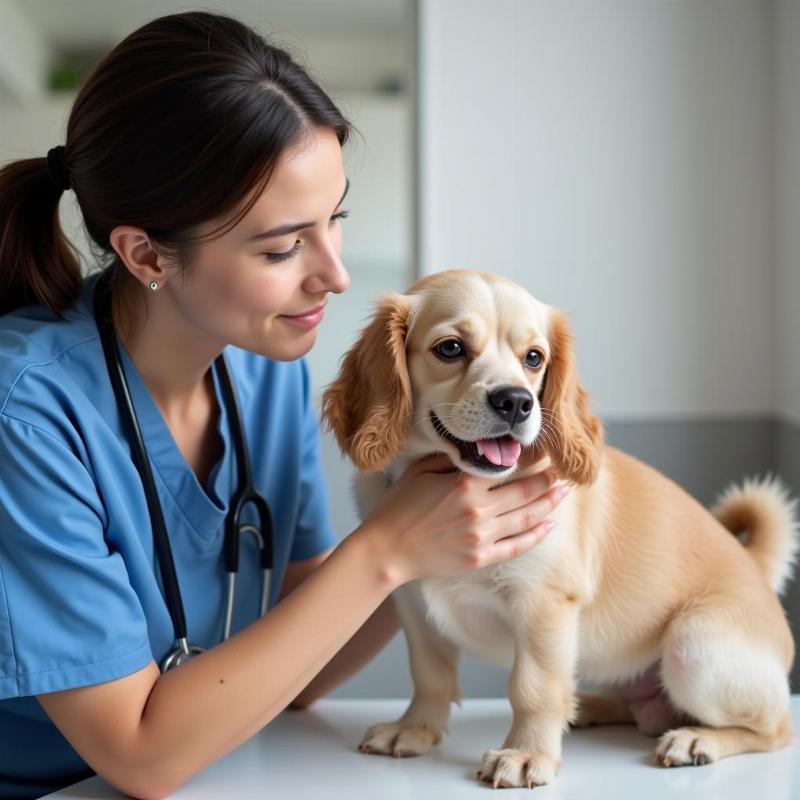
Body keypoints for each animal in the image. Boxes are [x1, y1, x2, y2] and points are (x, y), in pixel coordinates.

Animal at [320, 268, 800, 788]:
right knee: (642, 710)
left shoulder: (543, 603)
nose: (516, 402)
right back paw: (589, 706)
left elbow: (533, 688)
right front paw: (415, 729)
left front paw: (527, 753)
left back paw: (697, 740)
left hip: (693, 647)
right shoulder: (413, 604)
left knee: (776, 727)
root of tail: (755, 569)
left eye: (534, 358)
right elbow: (430, 675)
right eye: (450, 348)